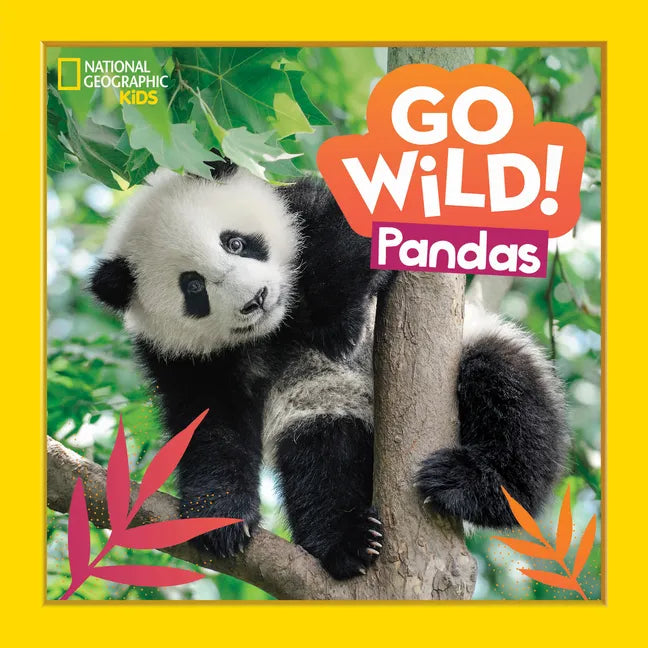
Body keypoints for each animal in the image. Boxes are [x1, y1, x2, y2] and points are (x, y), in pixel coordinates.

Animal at [89, 161, 569, 580]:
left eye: (236, 243)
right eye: (193, 287)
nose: (256, 299)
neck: (277, 327)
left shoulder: (304, 207)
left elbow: (348, 235)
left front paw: (335, 324)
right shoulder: (183, 357)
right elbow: (209, 424)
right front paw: (220, 517)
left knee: (507, 391)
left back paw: (473, 485)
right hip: (325, 406)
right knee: (322, 458)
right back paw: (347, 542)